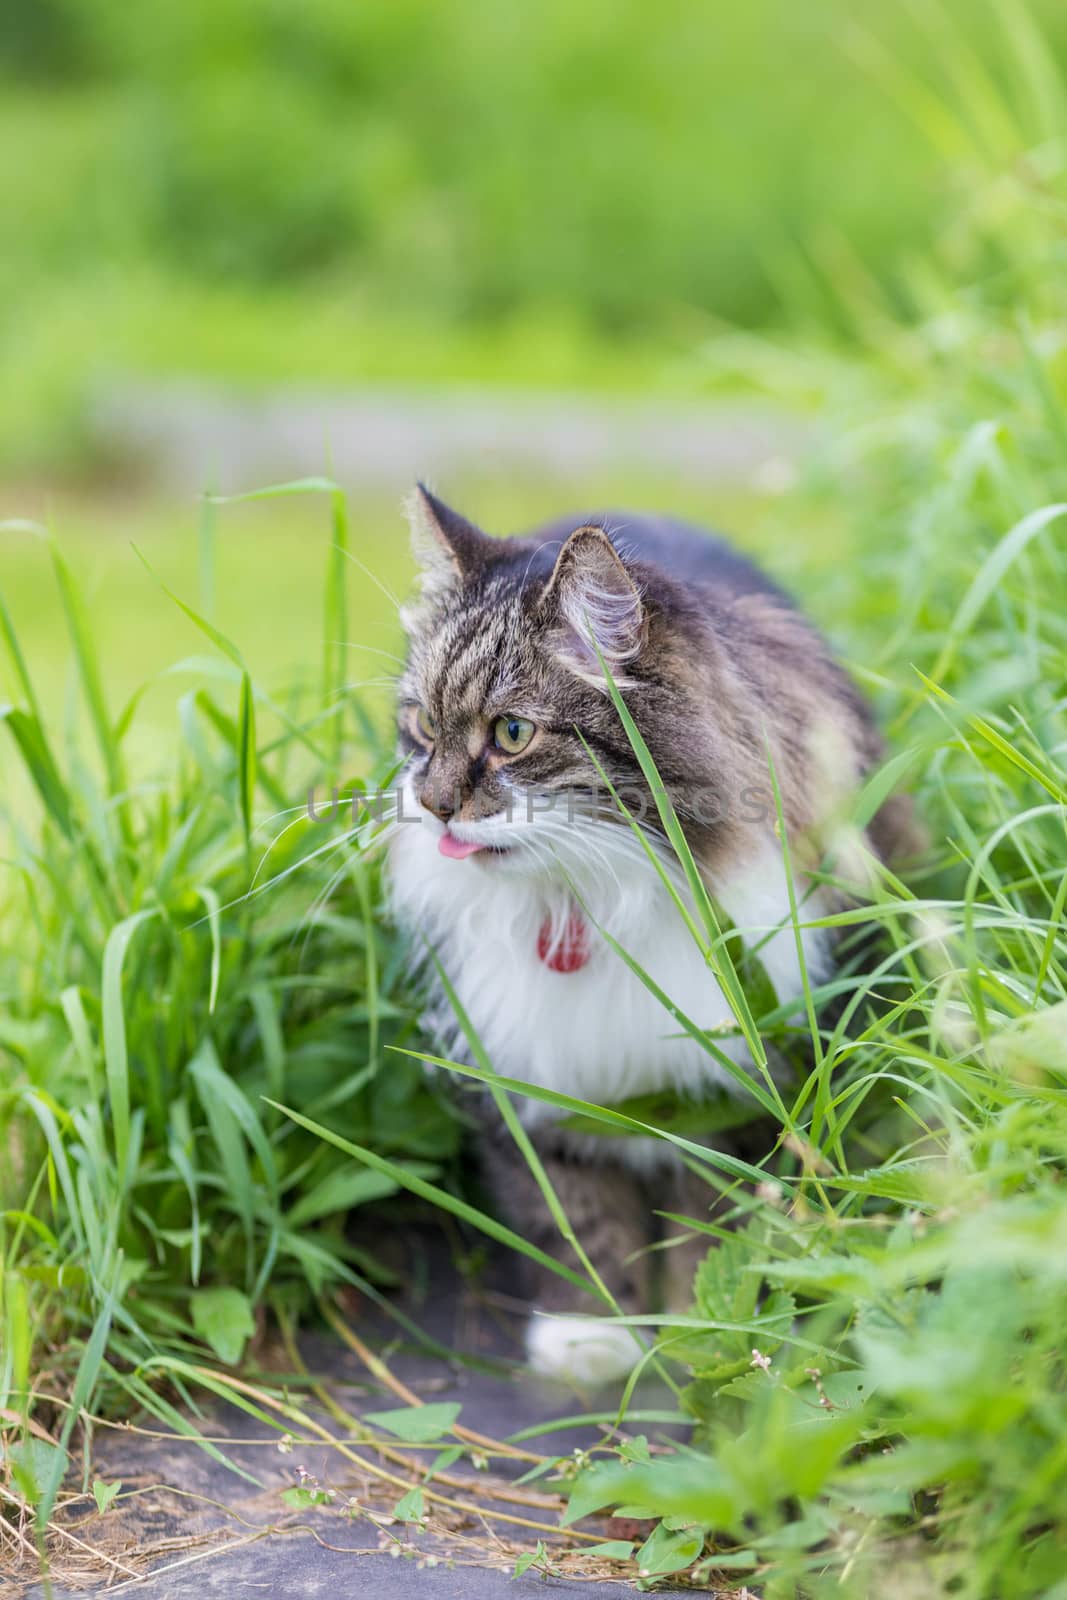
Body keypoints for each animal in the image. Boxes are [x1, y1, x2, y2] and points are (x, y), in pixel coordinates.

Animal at [388, 480, 921, 1382]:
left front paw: (699, 1333)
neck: (584, 896)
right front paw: (590, 1339)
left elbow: (709, 1229)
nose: (430, 805)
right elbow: (575, 1223)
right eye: (423, 725)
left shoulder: (735, 1090)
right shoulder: (533, 1084)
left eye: (512, 734)